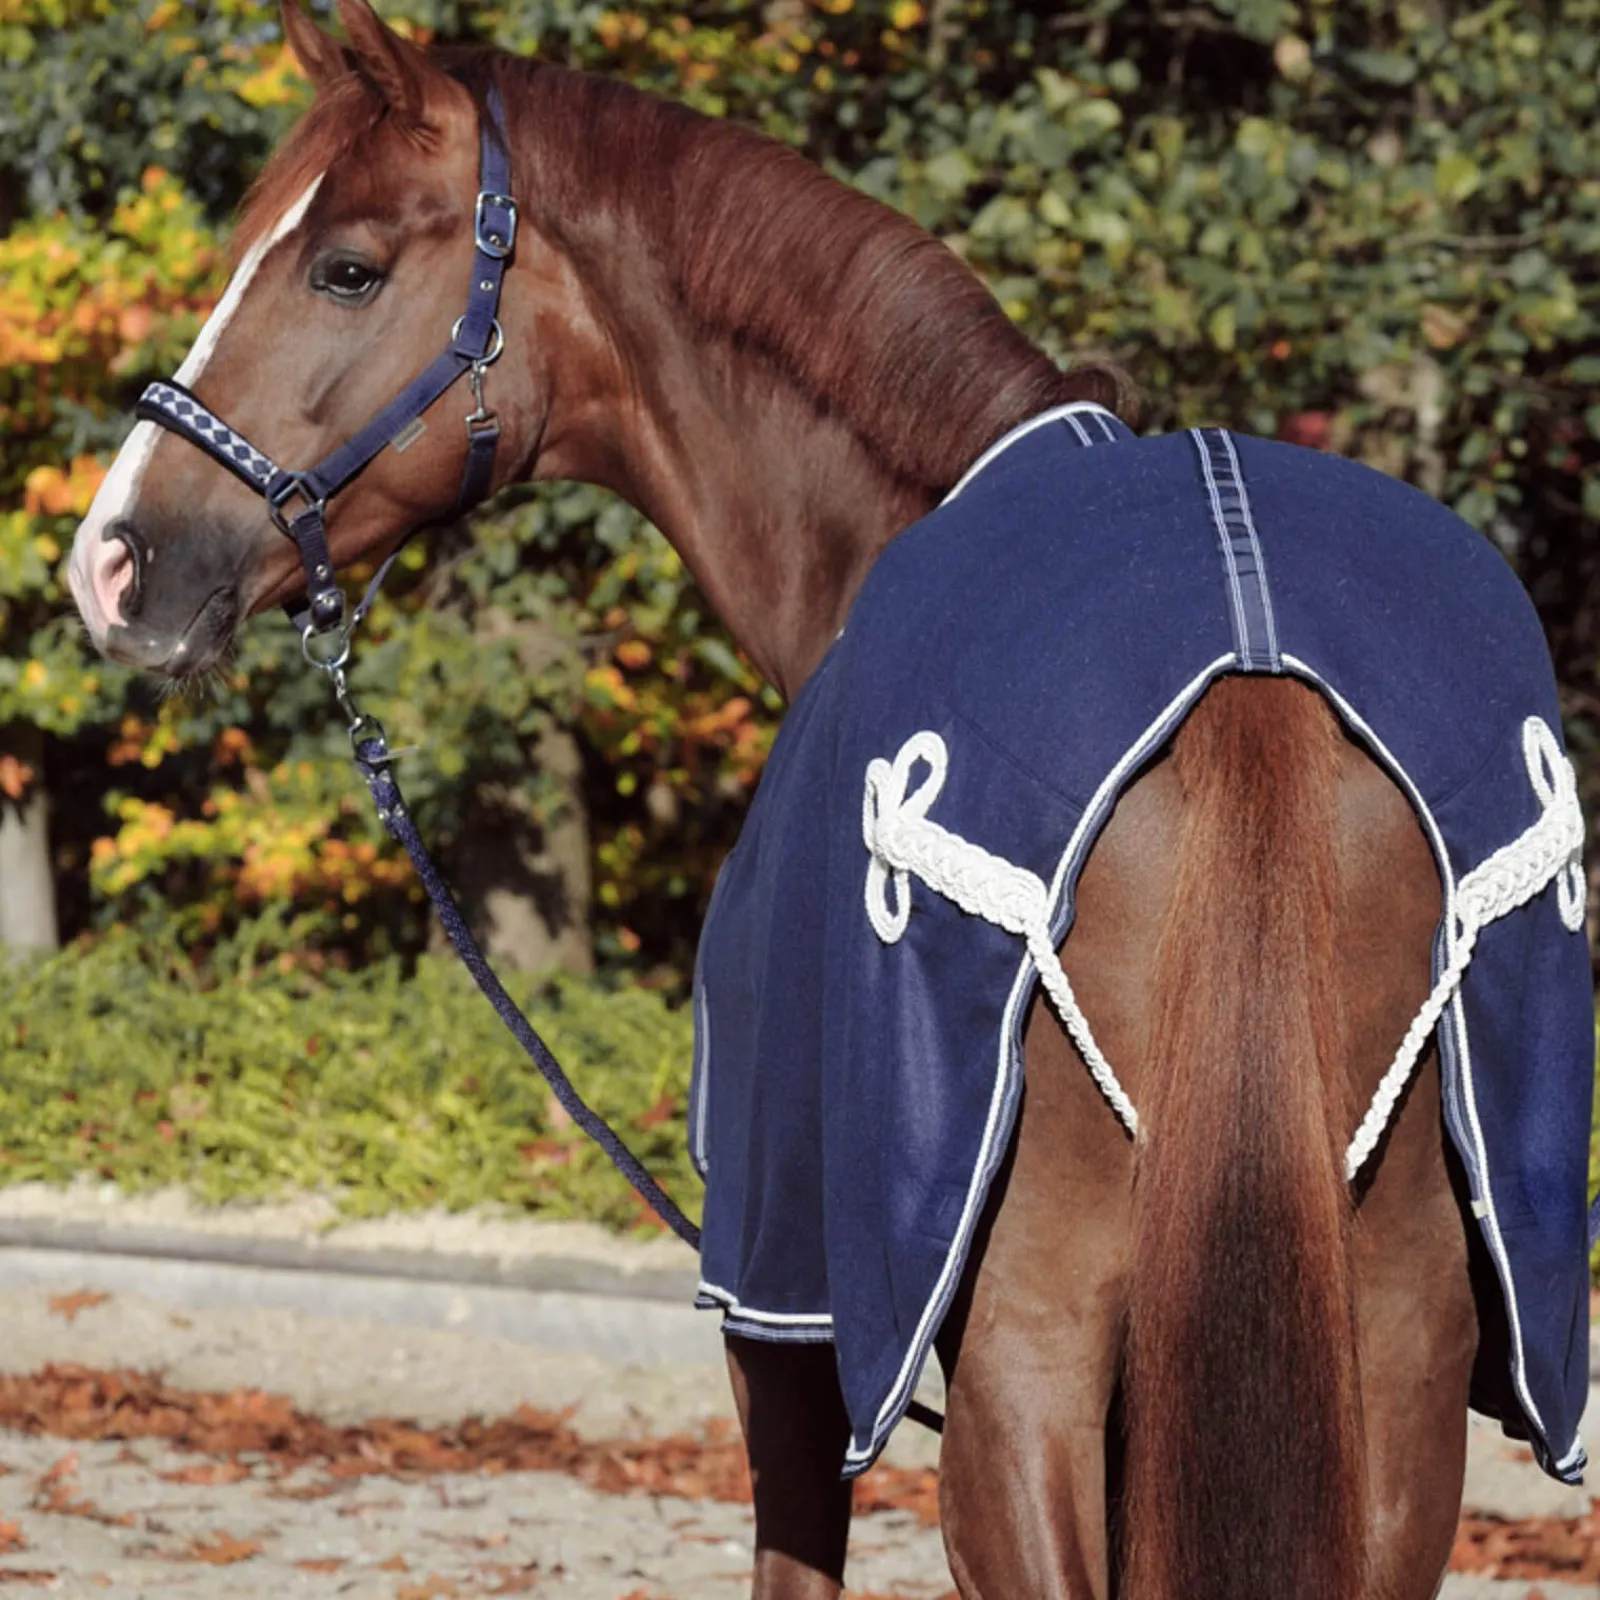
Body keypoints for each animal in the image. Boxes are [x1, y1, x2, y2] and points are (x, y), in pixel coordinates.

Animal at [66, 5, 1594, 1598]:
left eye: (347, 267)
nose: (113, 559)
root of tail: (1254, 665)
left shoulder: (780, 1316)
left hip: (1021, 1372)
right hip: (1396, 1368)